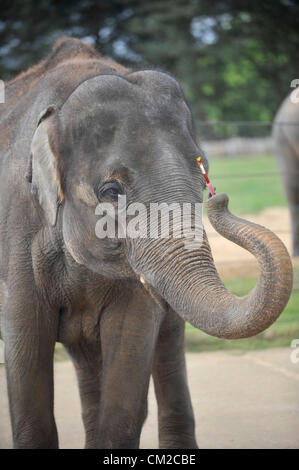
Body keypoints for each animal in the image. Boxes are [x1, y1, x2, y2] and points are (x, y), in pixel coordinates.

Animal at [0, 37, 294, 448]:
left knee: (165, 348)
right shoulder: (18, 234)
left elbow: (130, 357)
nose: (220, 198)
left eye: (201, 176)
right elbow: (27, 353)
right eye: (111, 191)